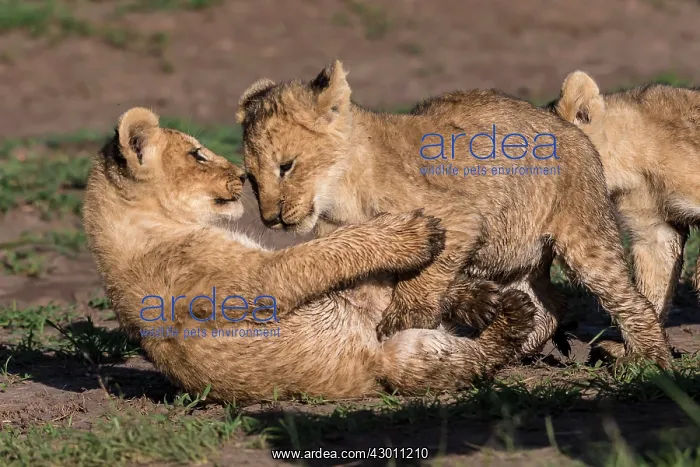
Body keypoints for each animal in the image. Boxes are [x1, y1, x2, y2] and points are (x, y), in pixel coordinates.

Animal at [82, 107, 538, 404]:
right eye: (197, 155)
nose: (242, 176)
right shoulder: (248, 281)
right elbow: (320, 252)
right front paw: (412, 232)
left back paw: (480, 298)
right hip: (397, 358)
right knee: (475, 357)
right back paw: (512, 312)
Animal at [236, 60, 672, 368]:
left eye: (286, 166)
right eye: (251, 180)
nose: (271, 220)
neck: (339, 191)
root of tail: (566, 125)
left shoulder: (460, 215)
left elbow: (425, 276)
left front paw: (406, 317)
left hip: (584, 235)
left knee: (629, 300)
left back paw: (649, 361)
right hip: (515, 252)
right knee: (551, 300)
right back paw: (509, 347)